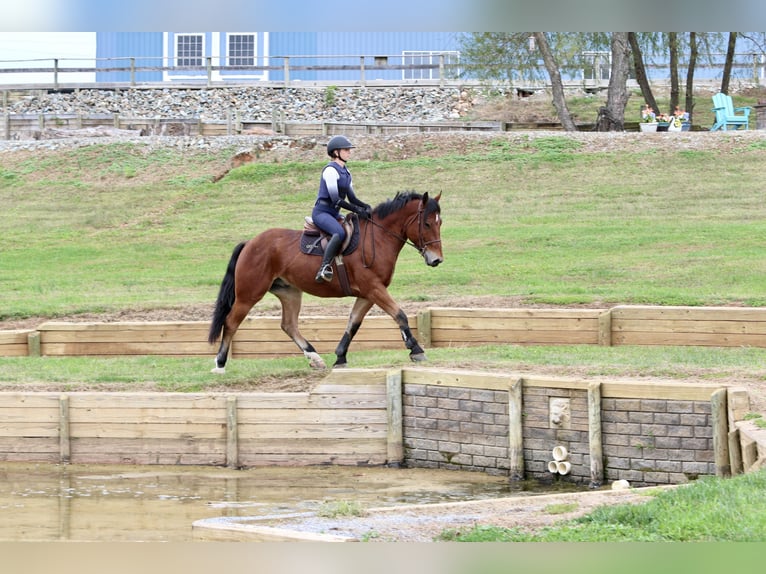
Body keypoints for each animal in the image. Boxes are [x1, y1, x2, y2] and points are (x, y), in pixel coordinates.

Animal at [208, 191, 443, 372]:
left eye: (440, 222)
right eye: (427, 223)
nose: (436, 259)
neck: (377, 237)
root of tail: (250, 243)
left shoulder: (368, 293)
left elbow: (353, 323)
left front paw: (340, 357)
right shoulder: (373, 289)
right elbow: (399, 314)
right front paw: (416, 350)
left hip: (290, 293)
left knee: (288, 325)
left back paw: (314, 357)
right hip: (249, 294)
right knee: (231, 322)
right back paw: (220, 364)